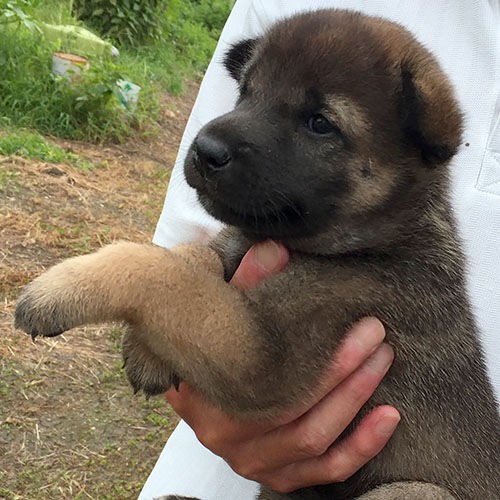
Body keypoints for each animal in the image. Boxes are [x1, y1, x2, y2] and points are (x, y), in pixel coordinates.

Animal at [13, 8, 498, 500]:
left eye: (319, 123)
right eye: (246, 92)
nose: (204, 151)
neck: (378, 238)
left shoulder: (266, 353)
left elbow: (160, 273)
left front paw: (62, 288)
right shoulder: (234, 255)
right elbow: (193, 258)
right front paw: (147, 351)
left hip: (413, 489)